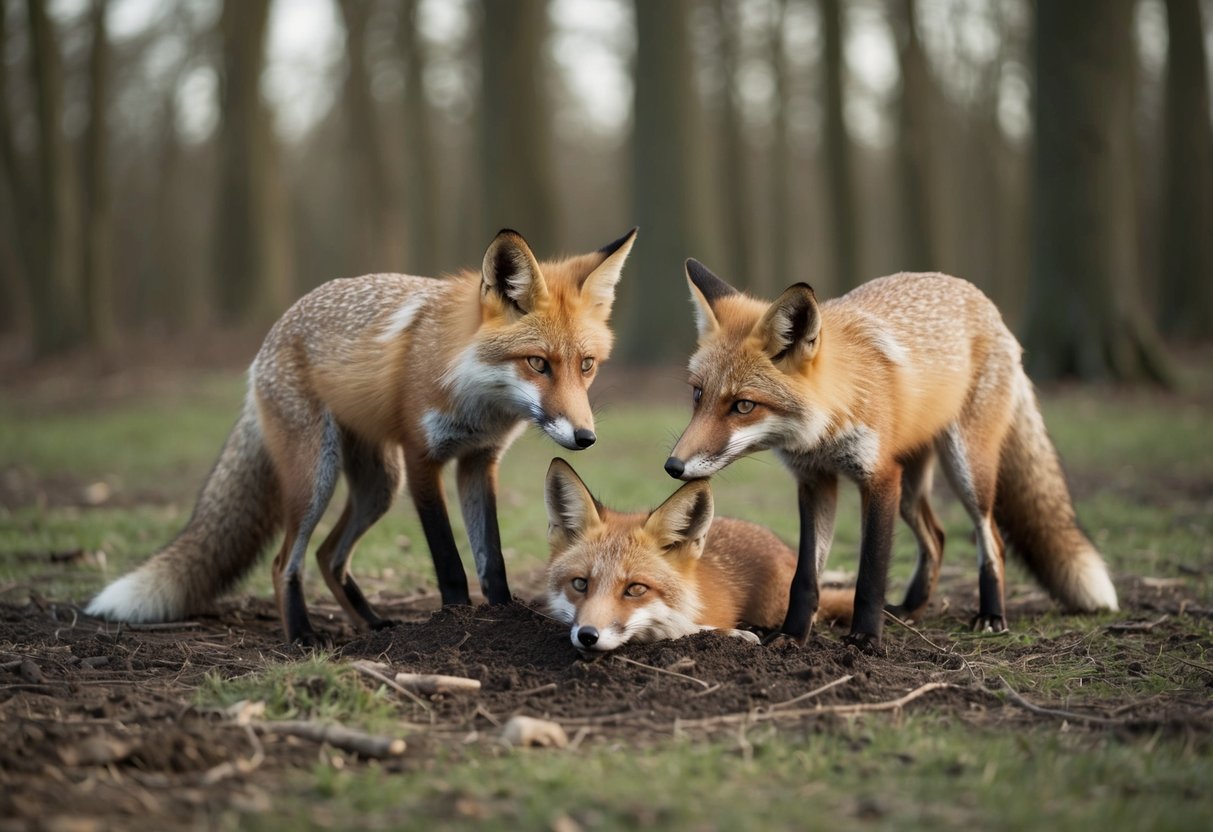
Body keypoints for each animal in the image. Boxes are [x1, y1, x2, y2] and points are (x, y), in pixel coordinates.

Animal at [86, 228, 638, 645]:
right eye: (538, 363)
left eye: (586, 365)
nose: (585, 437)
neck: (477, 398)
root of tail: (272, 336)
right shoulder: (422, 459)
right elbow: (449, 562)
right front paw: (454, 623)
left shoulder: (478, 461)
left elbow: (492, 560)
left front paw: (500, 617)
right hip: (319, 476)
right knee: (286, 562)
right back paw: (302, 637)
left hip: (377, 486)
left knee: (329, 557)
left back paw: (373, 626)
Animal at [664, 260, 1119, 651]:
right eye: (698, 394)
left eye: (743, 406)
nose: (673, 466)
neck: (829, 422)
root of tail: (982, 301)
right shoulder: (815, 481)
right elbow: (805, 577)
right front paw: (792, 636)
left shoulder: (879, 477)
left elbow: (871, 573)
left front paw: (865, 639)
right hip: (913, 487)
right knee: (937, 537)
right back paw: (910, 610)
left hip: (967, 470)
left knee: (991, 538)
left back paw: (991, 616)